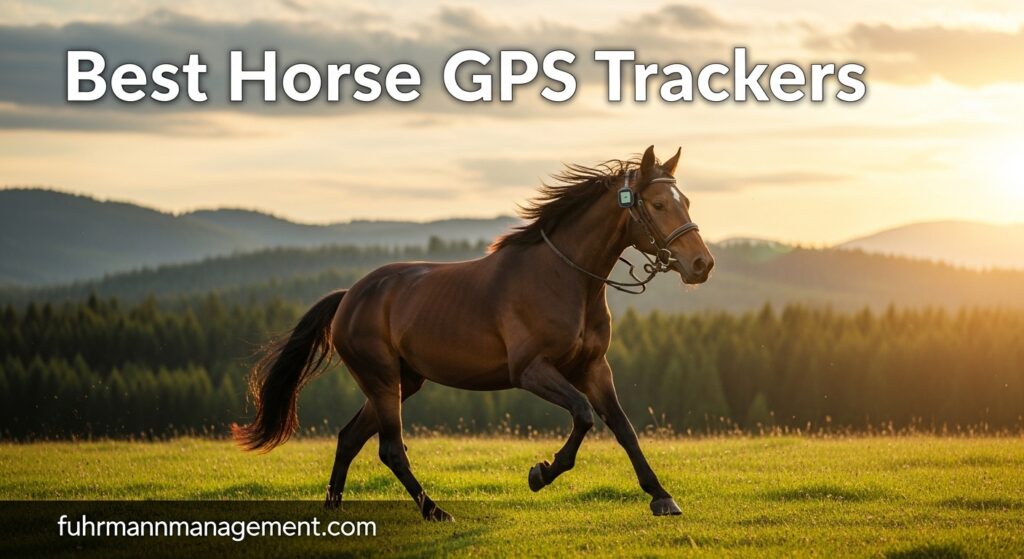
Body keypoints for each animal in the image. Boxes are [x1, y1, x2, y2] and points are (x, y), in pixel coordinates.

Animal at [232, 146, 715, 521]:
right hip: (383, 380)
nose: (701, 265)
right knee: (390, 448)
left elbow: (622, 426)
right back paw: (434, 510)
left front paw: (661, 497)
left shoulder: (594, 368)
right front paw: (540, 473)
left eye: (687, 201)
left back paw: (335, 509)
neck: (565, 278)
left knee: (350, 437)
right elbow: (582, 415)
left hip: (403, 382)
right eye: (657, 205)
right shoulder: (531, 371)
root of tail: (350, 296)